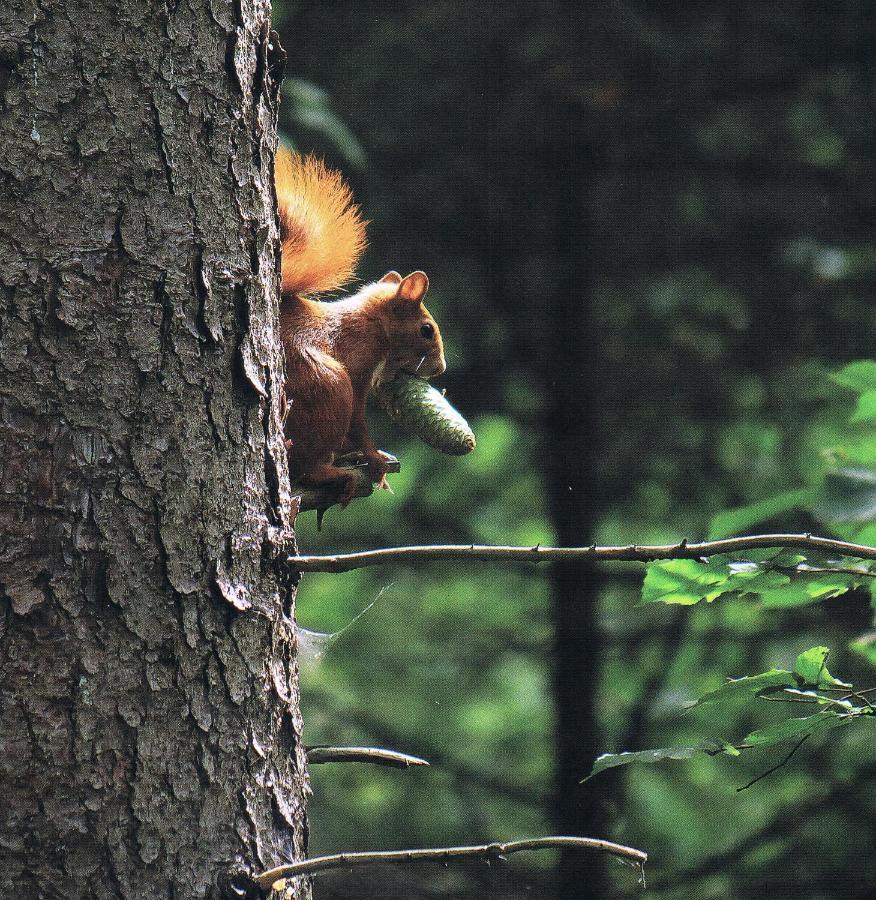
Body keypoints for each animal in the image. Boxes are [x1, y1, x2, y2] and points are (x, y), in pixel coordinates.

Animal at [278, 153, 444, 506]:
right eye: (426, 330)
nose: (440, 369)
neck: (370, 324)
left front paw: (360, 455)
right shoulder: (357, 364)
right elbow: (357, 422)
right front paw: (374, 457)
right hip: (328, 387)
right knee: (305, 467)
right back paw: (332, 472)